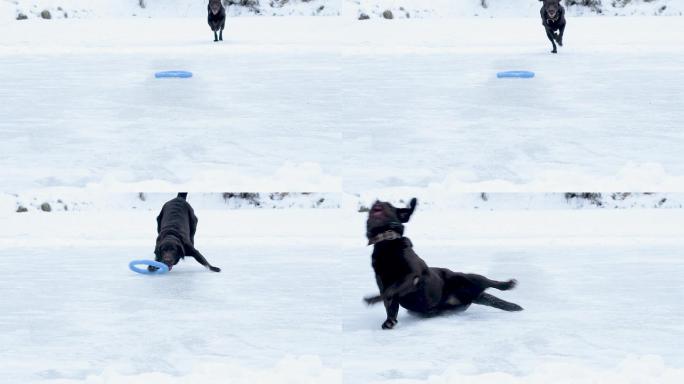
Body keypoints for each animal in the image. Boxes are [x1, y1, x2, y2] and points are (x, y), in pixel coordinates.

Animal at [366, 200, 520, 328]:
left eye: (388, 204)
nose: (377, 201)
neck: (386, 245)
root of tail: (474, 294)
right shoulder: (382, 283)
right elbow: (389, 302)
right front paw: (389, 321)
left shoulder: (412, 275)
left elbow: (391, 290)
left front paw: (372, 299)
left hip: (468, 277)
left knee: (491, 282)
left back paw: (508, 284)